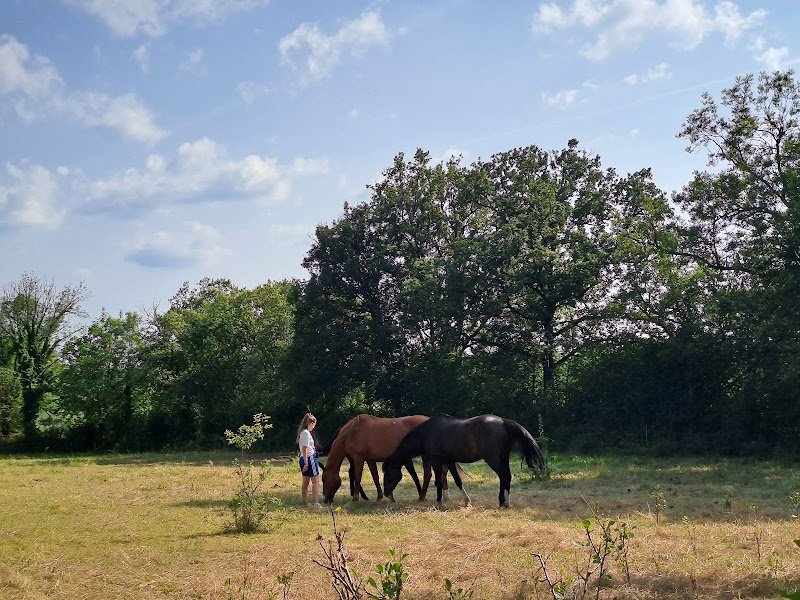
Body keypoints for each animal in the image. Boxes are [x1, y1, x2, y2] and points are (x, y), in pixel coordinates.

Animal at [382, 414, 546, 508]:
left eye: (389, 475)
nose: (386, 493)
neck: (427, 432)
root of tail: (504, 422)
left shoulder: (436, 461)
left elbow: (439, 480)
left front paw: (439, 500)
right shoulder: (449, 461)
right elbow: (456, 479)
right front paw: (465, 501)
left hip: (493, 460)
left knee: (503, 476)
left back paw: (502, 502)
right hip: (504, 458)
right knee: (507, 477)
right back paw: (507, 501)